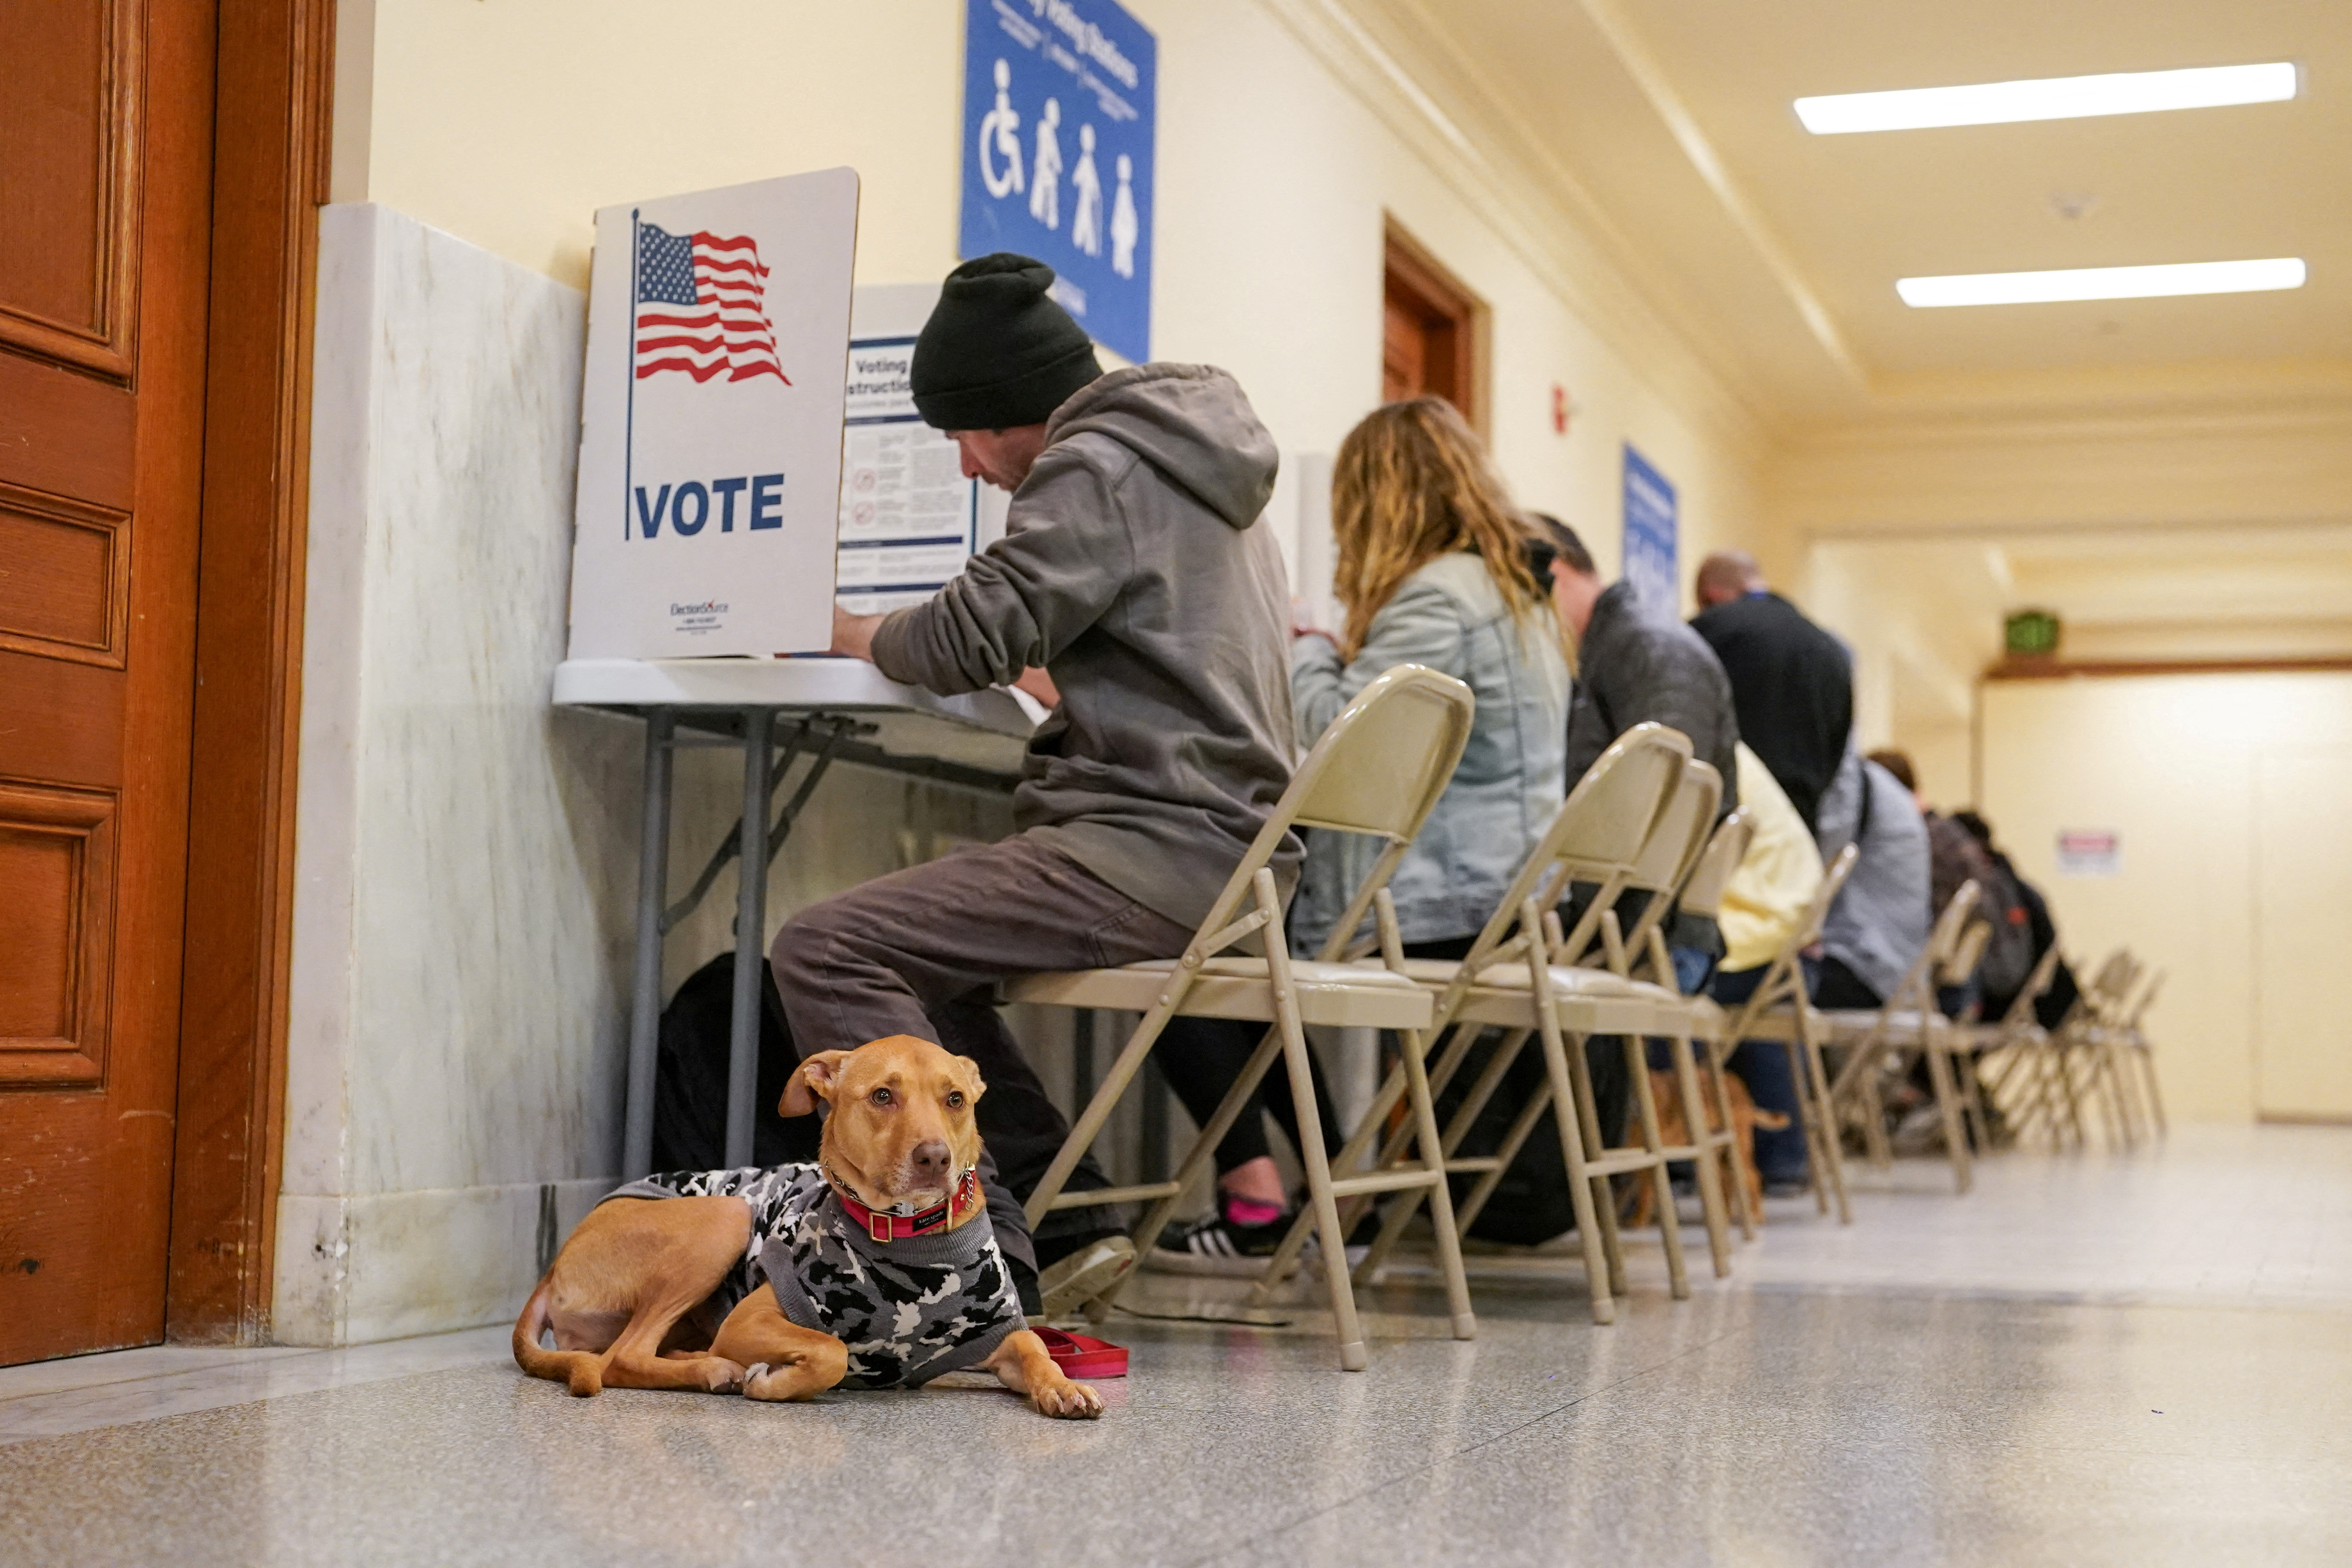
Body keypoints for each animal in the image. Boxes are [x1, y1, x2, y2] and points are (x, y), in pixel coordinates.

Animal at [515, 1034, 1101, 1420]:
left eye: (955, 1098)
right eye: (882, 1096)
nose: (935, 1157)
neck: (910, 1240)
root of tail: (555, 1264)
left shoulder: (997, 1333)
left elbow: (1036, 1348)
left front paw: (1062, 1386)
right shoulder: (751, 1320)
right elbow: (831, 1351)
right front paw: (774, 1381)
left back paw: (700, 1359)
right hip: (726, 1217)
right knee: (623, 1358)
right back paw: (715, 1369)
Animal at [1628, 1067, 1788, 1222]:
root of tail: (1742, 1091)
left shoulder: (1649, 1164)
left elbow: (1645, 1196)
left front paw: (1639, 1221)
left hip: (1736, 1152)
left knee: (1753, 1177)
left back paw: (1756, 1214)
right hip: (1720, 1155)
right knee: (1728, 1182)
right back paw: (1726, 1215)